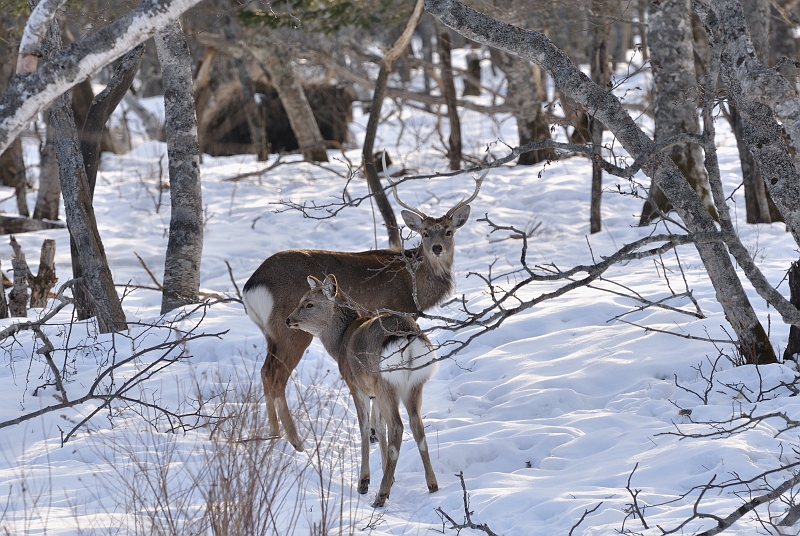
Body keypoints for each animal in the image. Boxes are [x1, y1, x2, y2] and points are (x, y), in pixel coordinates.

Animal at [241, 170, 484, 450]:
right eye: (424, 233)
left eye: (448, 231)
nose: (437, 248)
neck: (413, 282)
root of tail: (252, 285)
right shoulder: (396, 311)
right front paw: (375, 432)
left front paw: (375, 433)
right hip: (291, 330)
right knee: (276, 376)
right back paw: (297, 442)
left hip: (271, 333)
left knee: (264, 371)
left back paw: (272, 436)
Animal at [286, 274, 438, 504]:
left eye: (309, 304)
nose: (288, 319)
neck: (340, 342)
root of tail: (407, 336)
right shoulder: (374, 392)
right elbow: (380, 426)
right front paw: (388, 474)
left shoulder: (356, 386)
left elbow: (365, 426)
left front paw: (364, 481)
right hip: (414, 384)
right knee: (416, 425)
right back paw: (432, 484)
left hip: (386, 382)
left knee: (398, 426)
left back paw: (380, 495)